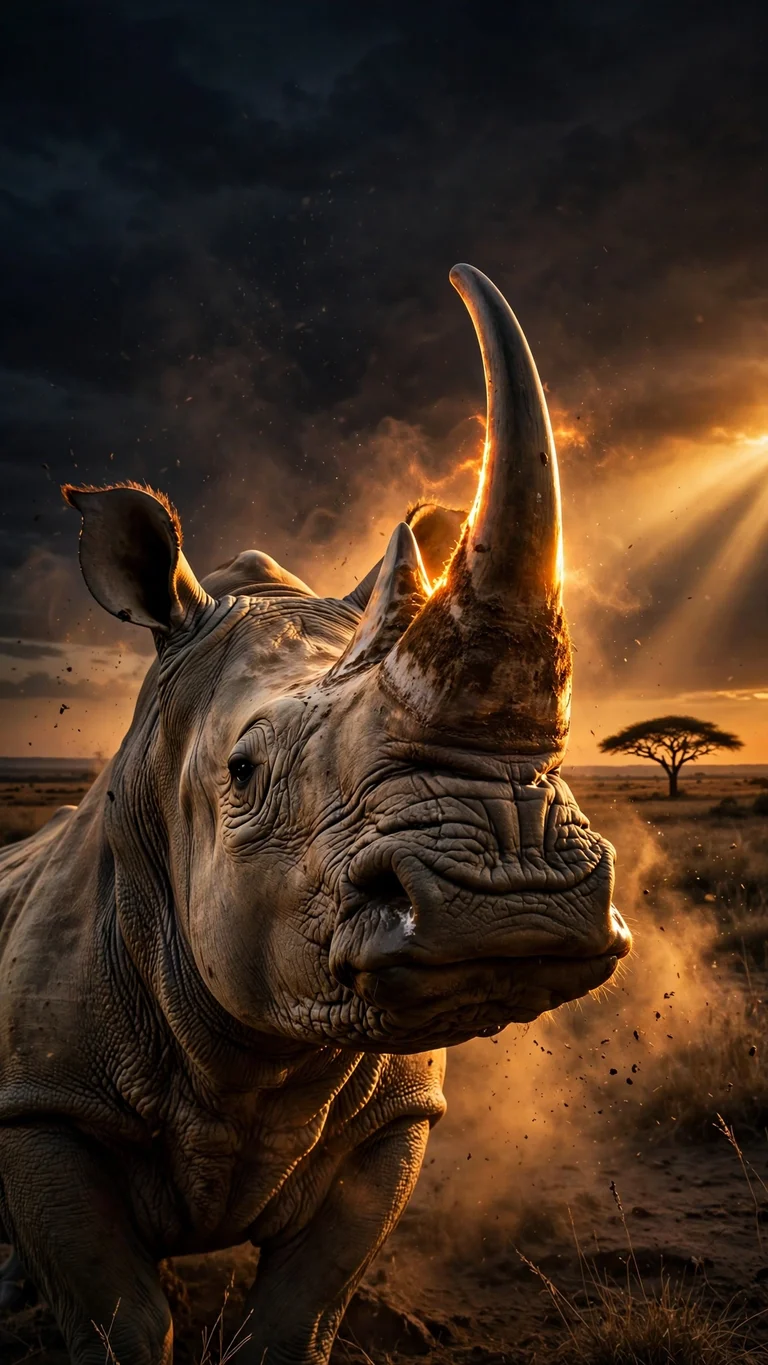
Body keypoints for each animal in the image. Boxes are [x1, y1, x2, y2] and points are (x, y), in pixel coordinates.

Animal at [0, 264, 630, 1365]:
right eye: (244, 771)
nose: (514, 899)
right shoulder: (43, 1108)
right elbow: (120, 1320)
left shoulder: (396, 1119)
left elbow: (298, 1313)